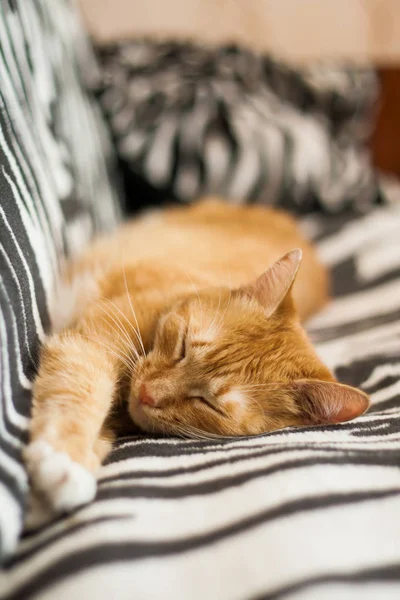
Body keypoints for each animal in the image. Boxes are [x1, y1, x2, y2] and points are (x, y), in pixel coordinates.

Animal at [24, 199, 368, 516]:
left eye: (208, 404)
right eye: (183, 346)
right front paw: (65, 457)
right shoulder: (90, 344)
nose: (147, 393)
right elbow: (82, 392)